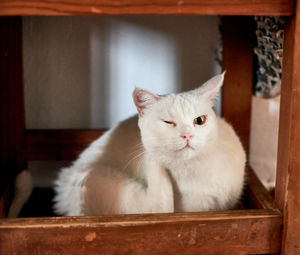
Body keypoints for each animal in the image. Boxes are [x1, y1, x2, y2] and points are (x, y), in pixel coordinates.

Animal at [54, 73, 246, 215]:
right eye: (168, 122)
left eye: (199, 120)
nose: (187, 135)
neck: (190, 172)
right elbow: (161, 202)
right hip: (96, 178)